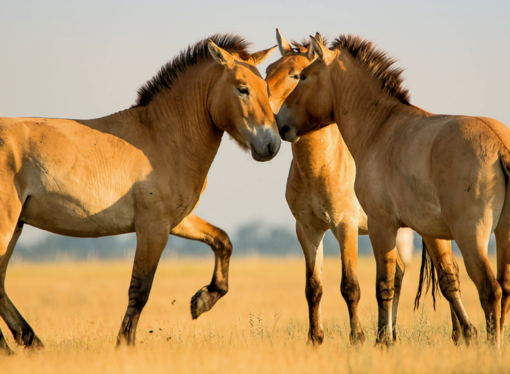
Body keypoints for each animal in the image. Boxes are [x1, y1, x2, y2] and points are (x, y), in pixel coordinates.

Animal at [0, 32, 278, 354]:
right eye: (243, 88)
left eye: (266, 88)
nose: (271, 145)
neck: (163, 137)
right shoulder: (152, 229)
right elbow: (140, 289)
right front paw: (126, 344)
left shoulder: (176, 221)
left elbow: (223, 241)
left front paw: (202, 300)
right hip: (6, 226)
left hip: (16, 226)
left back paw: (27, 343)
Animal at [278, 33, 510, 346]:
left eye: (302, 76)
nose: (279, 121)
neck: (379, 127)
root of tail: (499, 144)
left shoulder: (379, 226)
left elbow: (383, 284)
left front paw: (380, 340)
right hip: (499, 234)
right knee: (503, 288)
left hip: (469, 236)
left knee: (489, 289)